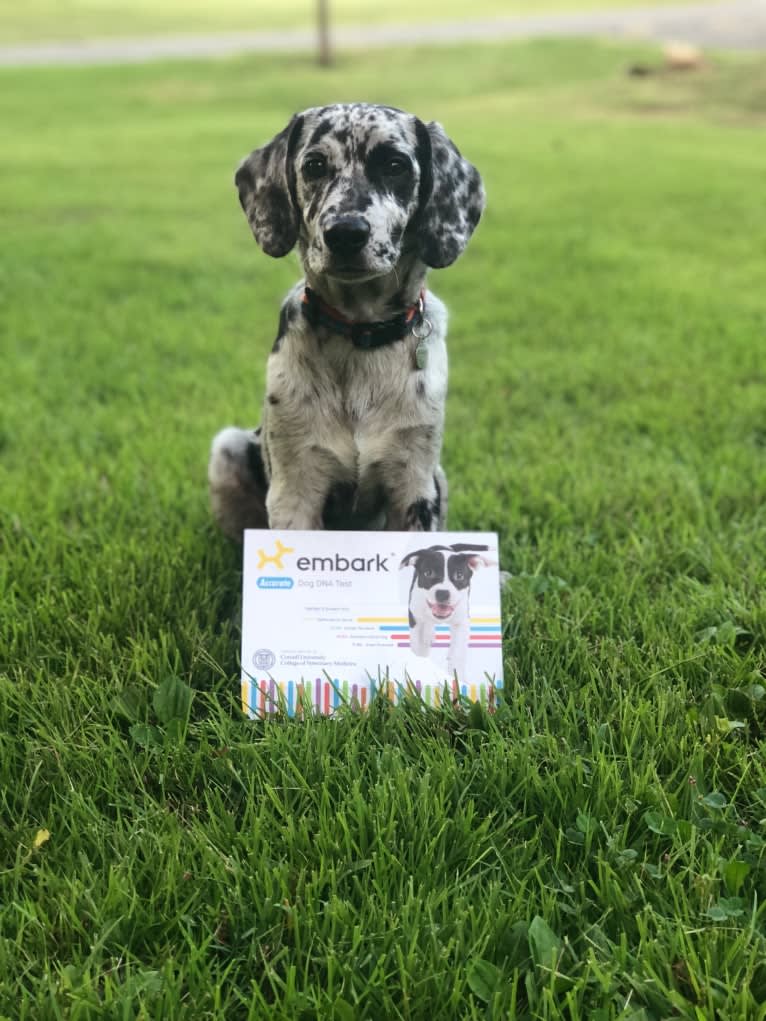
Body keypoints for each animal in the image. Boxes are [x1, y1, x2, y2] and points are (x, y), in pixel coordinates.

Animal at [208, 101, 486, 543]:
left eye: (395, 164)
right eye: (314, 165)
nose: (345, 232)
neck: (361, 337)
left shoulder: (414, 483)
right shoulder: (296, 488)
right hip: (227, 450)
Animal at [398, 547, 494, 682]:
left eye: (459, 576)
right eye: (428, 573)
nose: (442, 593)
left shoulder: (461, 622)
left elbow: (458, 651)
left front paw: (458, 678)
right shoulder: (415, 617)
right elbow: (418, 648)